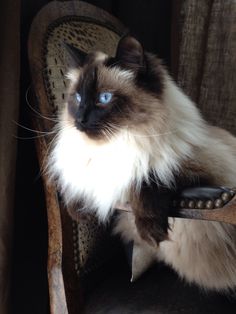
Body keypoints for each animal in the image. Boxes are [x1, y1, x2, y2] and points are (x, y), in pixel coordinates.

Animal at [47, 36, 236, 290]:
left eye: (104, 98)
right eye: (77, 98)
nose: (80, 120)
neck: (121, 142)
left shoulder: (198, 171)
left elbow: (149, 180)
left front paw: (151, 232)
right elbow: (77, 186)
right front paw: (79, 212)